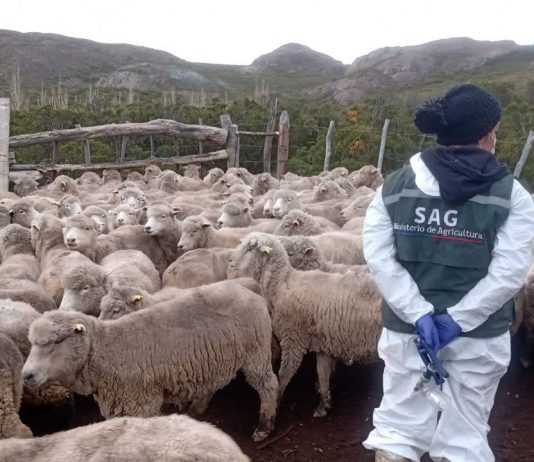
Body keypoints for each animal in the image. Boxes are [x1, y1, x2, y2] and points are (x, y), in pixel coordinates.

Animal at [23, 280, 280, 442]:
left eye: (56, 342)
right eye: (32, 343)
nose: (27, 375)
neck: (107, 349)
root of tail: (250, 291)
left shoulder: (141, 402)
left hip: (256, 353)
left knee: (269, 385)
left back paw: (264, 426)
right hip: (217, 358)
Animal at [228, 233, 384, 416]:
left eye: (250, 249)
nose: (230, 261)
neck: (284, 281)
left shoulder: (293, 340)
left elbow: (284, 375)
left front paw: (276, 401)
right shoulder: (324, 342)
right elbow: (322, 373)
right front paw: (324, 404)